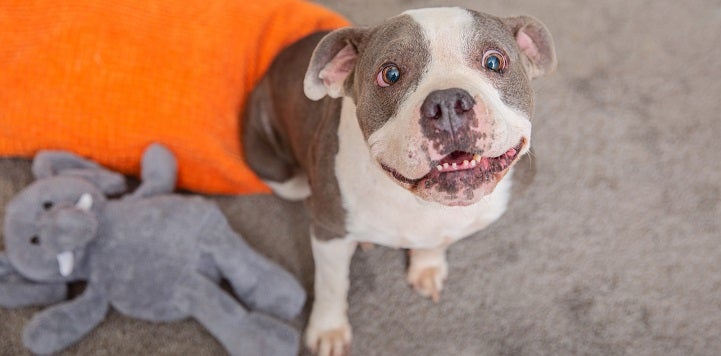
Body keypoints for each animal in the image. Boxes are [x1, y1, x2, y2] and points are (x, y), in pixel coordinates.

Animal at [242, 5, 556, 356]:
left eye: (494, 62)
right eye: (390, 74)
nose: (447, 103)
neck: (420, 203)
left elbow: (438, 240)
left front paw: (427, 265)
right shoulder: (329, 232)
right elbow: (331, 284)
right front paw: (328, 330)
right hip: (281, 173)